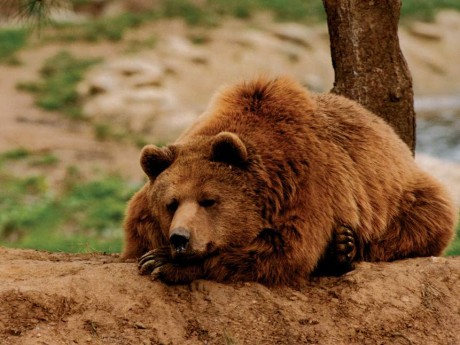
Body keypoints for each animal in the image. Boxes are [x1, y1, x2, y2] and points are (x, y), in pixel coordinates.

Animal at [121, 76, 456, 284]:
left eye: (209, 200)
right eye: (171, 203)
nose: (180, 238)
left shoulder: (305, 182)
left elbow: (285, 251)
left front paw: (161, 262)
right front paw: (156, 257)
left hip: (400, 196)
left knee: (422, 220)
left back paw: (345, 248)